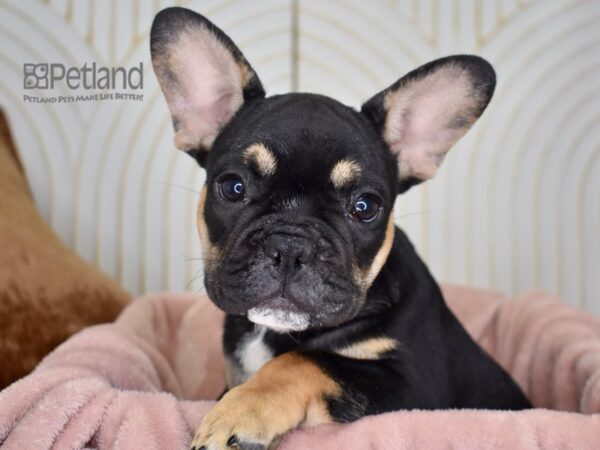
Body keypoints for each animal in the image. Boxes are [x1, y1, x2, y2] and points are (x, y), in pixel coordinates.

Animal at [150, 7, 528, 450]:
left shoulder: (416, 386)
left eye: (365, 207)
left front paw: (240, 411)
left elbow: (308, 360)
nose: (290, 246)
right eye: (232, 187)